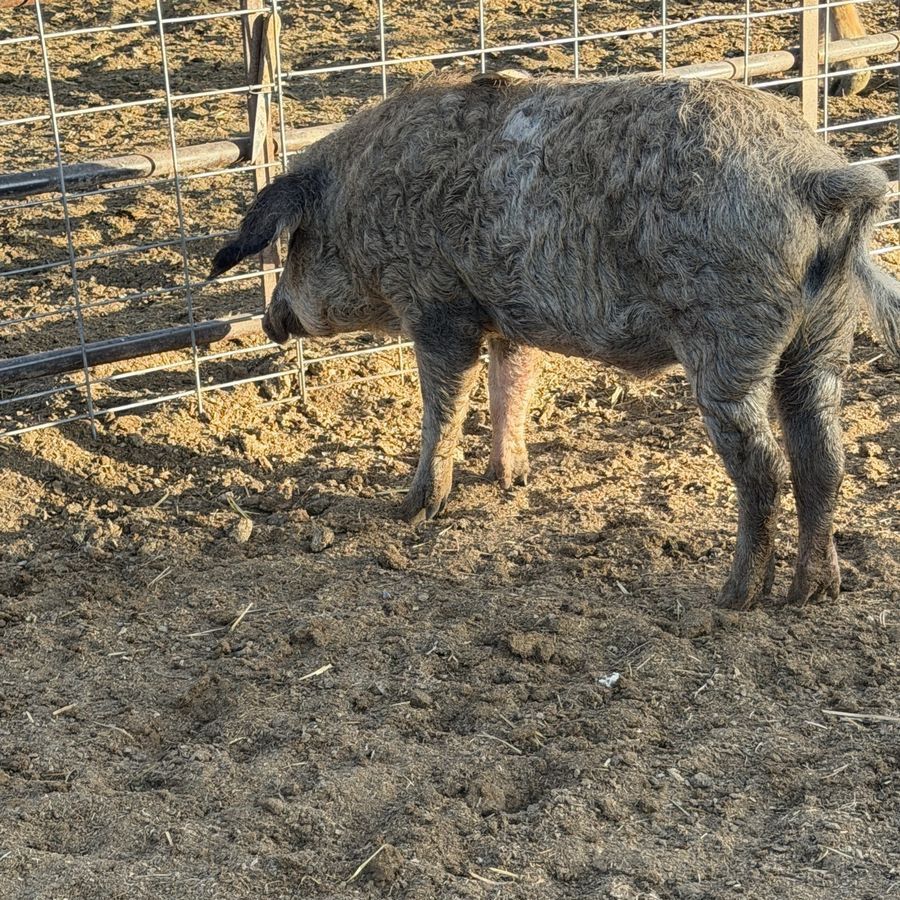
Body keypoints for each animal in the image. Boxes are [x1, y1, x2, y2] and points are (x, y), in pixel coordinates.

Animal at [210, 73, 900, 610]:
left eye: (294, 244)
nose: (271, 320)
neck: (364, 201)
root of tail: (813, 175)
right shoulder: (507, 320)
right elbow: (509, 388)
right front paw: (508, 480)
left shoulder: (439, 307)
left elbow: (444, 407)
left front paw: (413, 511)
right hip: (822, 340)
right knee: (824, 459)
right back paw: (815, 593)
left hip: (726, 340)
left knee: (765, 467)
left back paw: (732, 598)